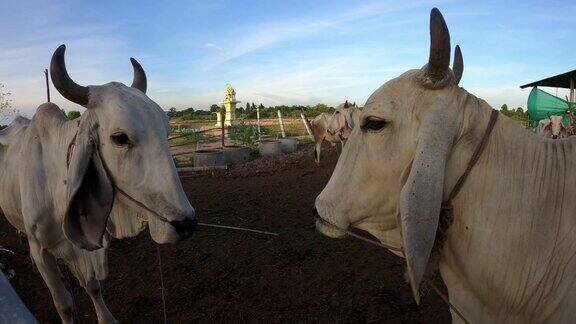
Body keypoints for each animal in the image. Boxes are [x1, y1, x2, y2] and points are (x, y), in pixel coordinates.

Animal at [0, 45, 196, 324]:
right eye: (119, 138)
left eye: (166, 131)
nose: (186, 224)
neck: (56, 187)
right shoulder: (41, 251)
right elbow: (64, 304)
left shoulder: (85, 248)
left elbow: (92, 286)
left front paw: (106, 318)